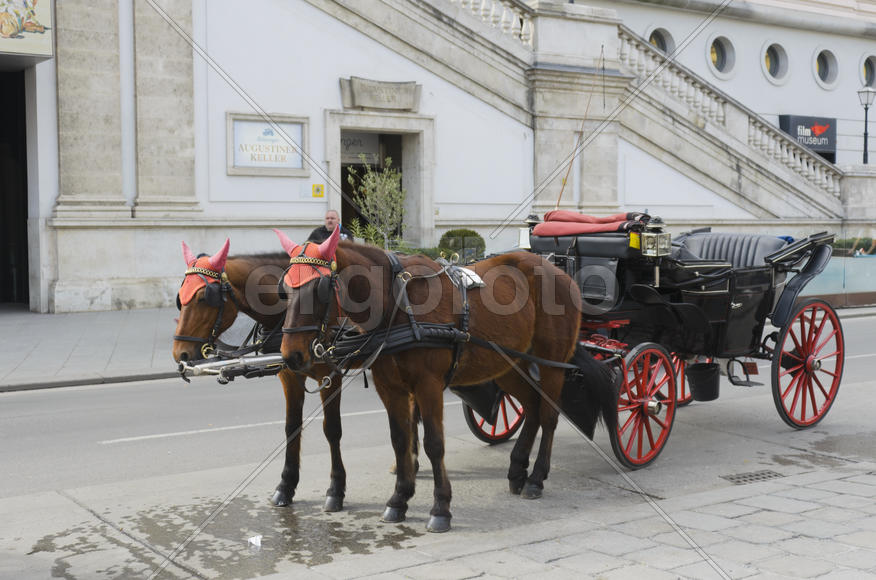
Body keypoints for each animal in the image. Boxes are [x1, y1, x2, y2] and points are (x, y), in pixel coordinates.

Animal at [169, 240, 348, 512]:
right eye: (181, 298)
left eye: (202, 297)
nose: (180, 353)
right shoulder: (289, 375)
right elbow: (291, 427)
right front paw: (286, 486)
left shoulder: (331, 376)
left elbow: (332, 429)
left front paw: (336, 489)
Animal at [274, 225, 616, 532]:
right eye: (285, 289)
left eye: (318, 289)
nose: (291, 356)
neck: (398, 303)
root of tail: (555, 269)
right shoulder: (390, 387)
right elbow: (400, 439)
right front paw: (399, 498)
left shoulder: (428, 385)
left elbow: (434, 443)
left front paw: (440, 508)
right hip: (509, 363)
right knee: (531, 407)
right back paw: (518, 468)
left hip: (551, 363)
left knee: (548, 415)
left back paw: (536, 477)